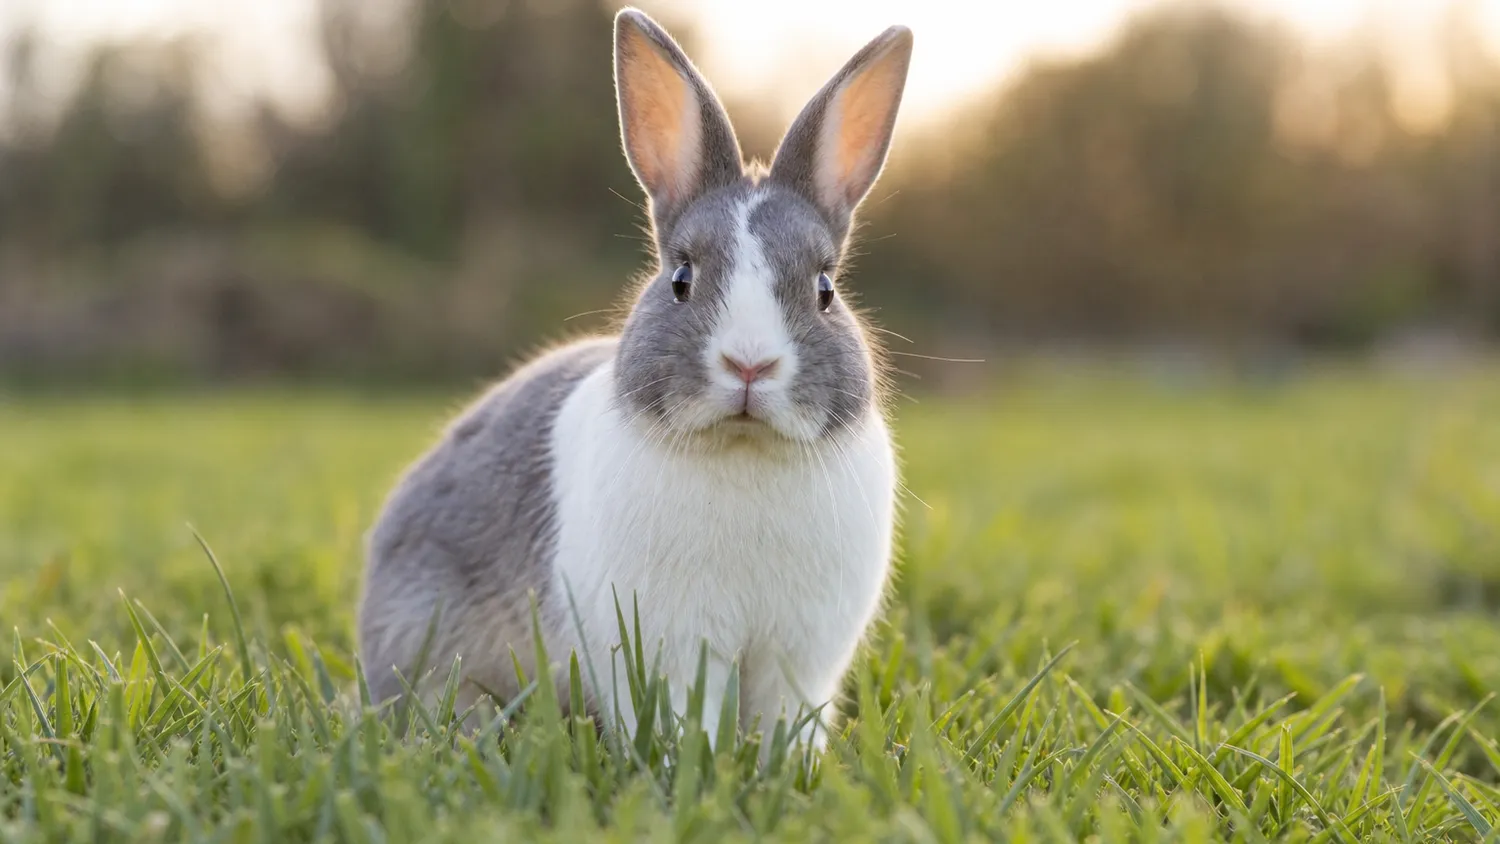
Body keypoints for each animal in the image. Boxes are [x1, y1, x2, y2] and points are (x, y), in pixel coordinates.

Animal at [358, 7, 913, 752]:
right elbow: (680, 710)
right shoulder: (668, 646)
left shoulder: (799, 660)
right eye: (680, 278)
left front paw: (790, 766)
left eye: (825, 289)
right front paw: (688, 761)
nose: (749, 364)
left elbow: (785, 720)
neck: (742, 448)